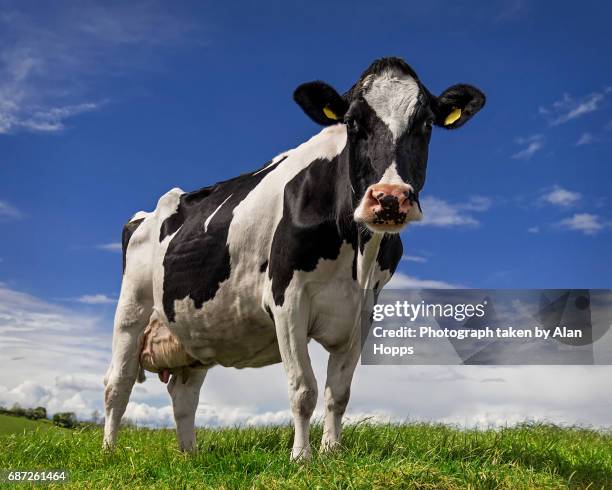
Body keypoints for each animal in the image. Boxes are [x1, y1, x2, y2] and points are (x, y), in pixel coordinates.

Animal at [101, 57, 482, 460]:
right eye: (352, 122)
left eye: (425, 124)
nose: (389, 198)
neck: (358, 255)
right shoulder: (288, 297)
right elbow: (304, 388)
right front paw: (302, 457)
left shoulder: (362, 309)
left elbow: (338, 393)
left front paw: (332, 452)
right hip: (132, 309)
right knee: (117, 384)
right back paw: (109, 451)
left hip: (194, 331)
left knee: (184, 394)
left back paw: (190, 455)